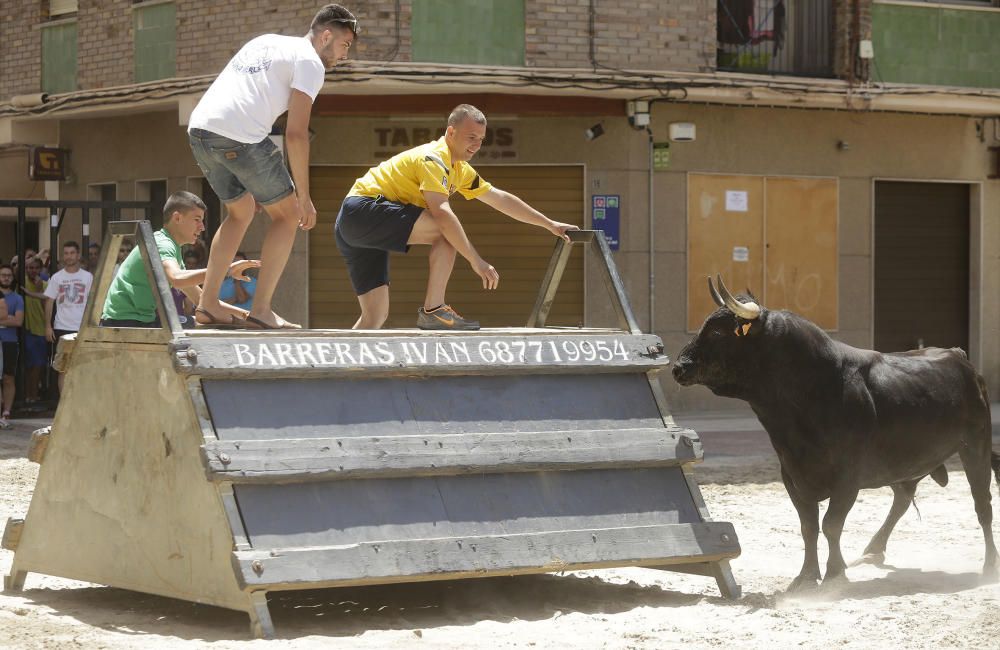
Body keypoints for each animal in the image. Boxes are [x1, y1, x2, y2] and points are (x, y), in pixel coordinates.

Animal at [672, 276, 1000, 588]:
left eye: (717, 333)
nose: (678, 367)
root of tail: (958, 356)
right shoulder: (791, 476)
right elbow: (809, 527)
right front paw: (806, 575)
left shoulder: (847, 477)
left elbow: (831, 524)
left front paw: (833, 573)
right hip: (901, 463)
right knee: (903, 498)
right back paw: (873, 550)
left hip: (975, 446)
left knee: (982, 504)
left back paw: (989, 566)